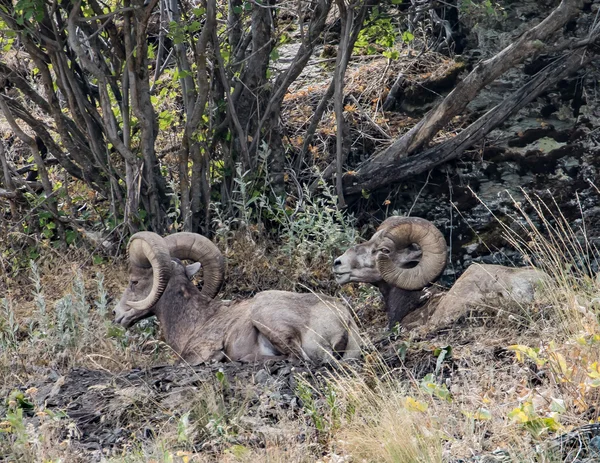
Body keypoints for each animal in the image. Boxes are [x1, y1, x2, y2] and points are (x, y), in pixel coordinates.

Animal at [113, 234, 358, 364]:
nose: (116, 314)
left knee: (297, 357)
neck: (196, 320)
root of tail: (344, 319)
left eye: (134, 281)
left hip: (264, 314)